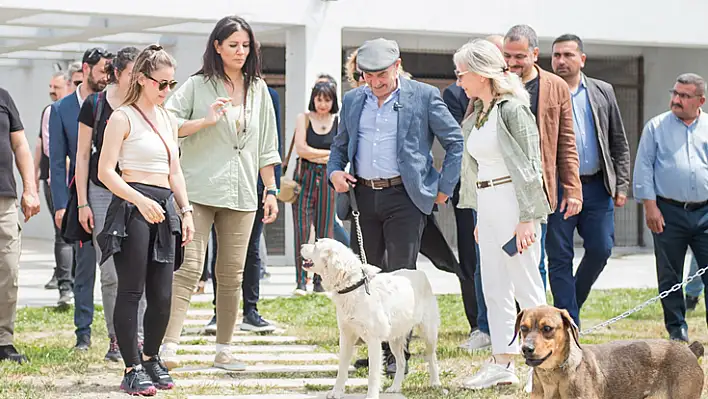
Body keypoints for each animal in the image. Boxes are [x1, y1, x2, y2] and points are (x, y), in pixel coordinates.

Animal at [298, 239, 440, 398]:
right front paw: (336, 392)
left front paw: (371, 395)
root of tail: (420, 273)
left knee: (431, 357)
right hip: (395, 339)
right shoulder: (346, 336)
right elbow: (342, 368)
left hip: (428, 333)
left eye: (316, 245)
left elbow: (373, 374)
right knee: (401, 362)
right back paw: (395, 387)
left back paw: (435, 383)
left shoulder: (374, 340)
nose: (301, 246)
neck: (353, 285)